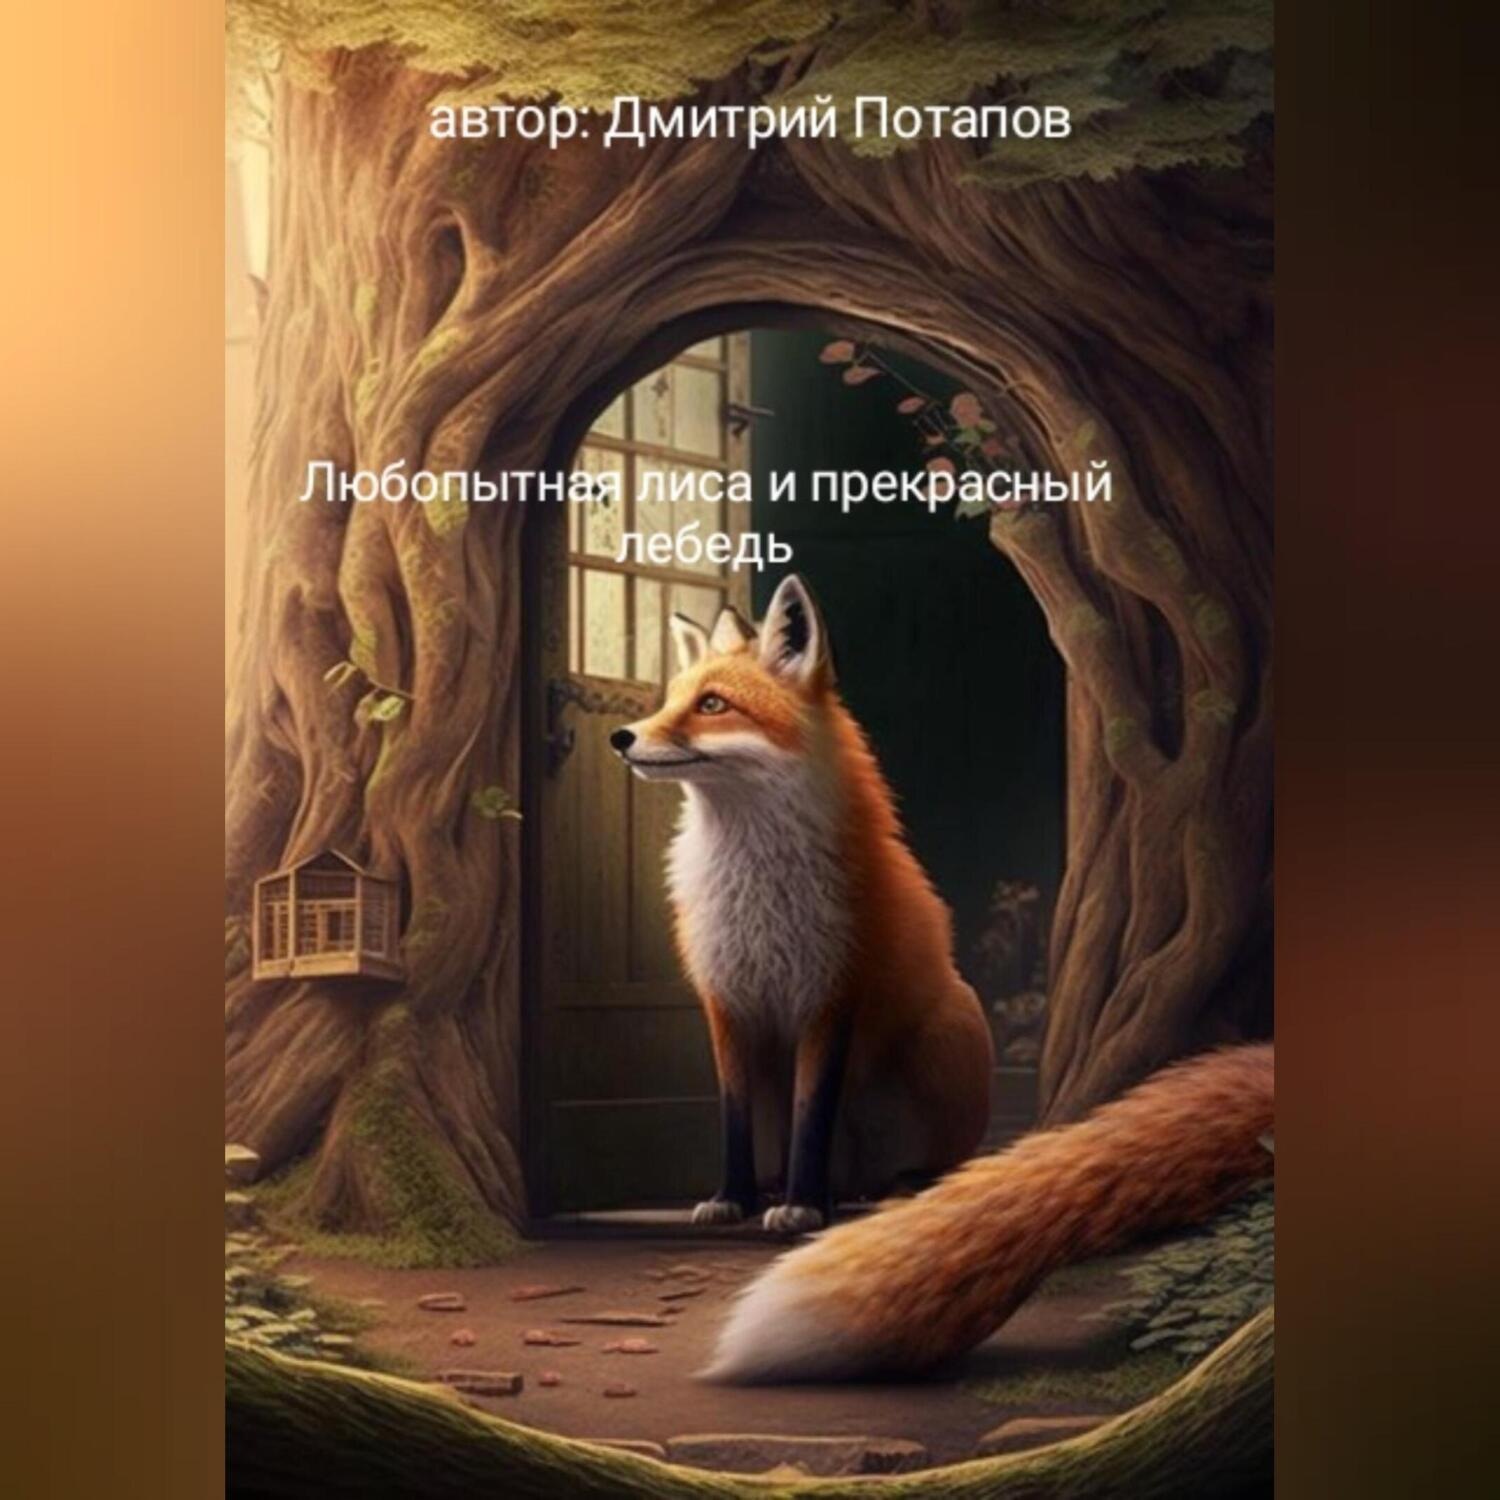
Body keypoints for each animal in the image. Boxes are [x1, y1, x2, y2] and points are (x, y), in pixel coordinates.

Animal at [609, 573, 994, 1235]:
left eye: (712, 704)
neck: (757, 891)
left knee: (929, 1168)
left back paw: (876, 1191)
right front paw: (734, 1196)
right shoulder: (726, 998)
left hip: (945, 1036)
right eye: (671, 697)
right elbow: (734, 1115)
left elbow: (811, 1116)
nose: (621, 738)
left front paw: (803, 1203)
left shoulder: (832, 992)